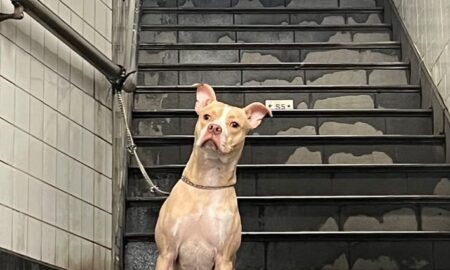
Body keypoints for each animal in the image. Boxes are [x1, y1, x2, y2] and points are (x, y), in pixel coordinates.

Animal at [155, 83, 272, 268]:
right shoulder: (166, 253)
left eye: (234, 124)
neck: (207, 183)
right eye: (207, 116)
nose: (215, 128)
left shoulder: (224, 258)